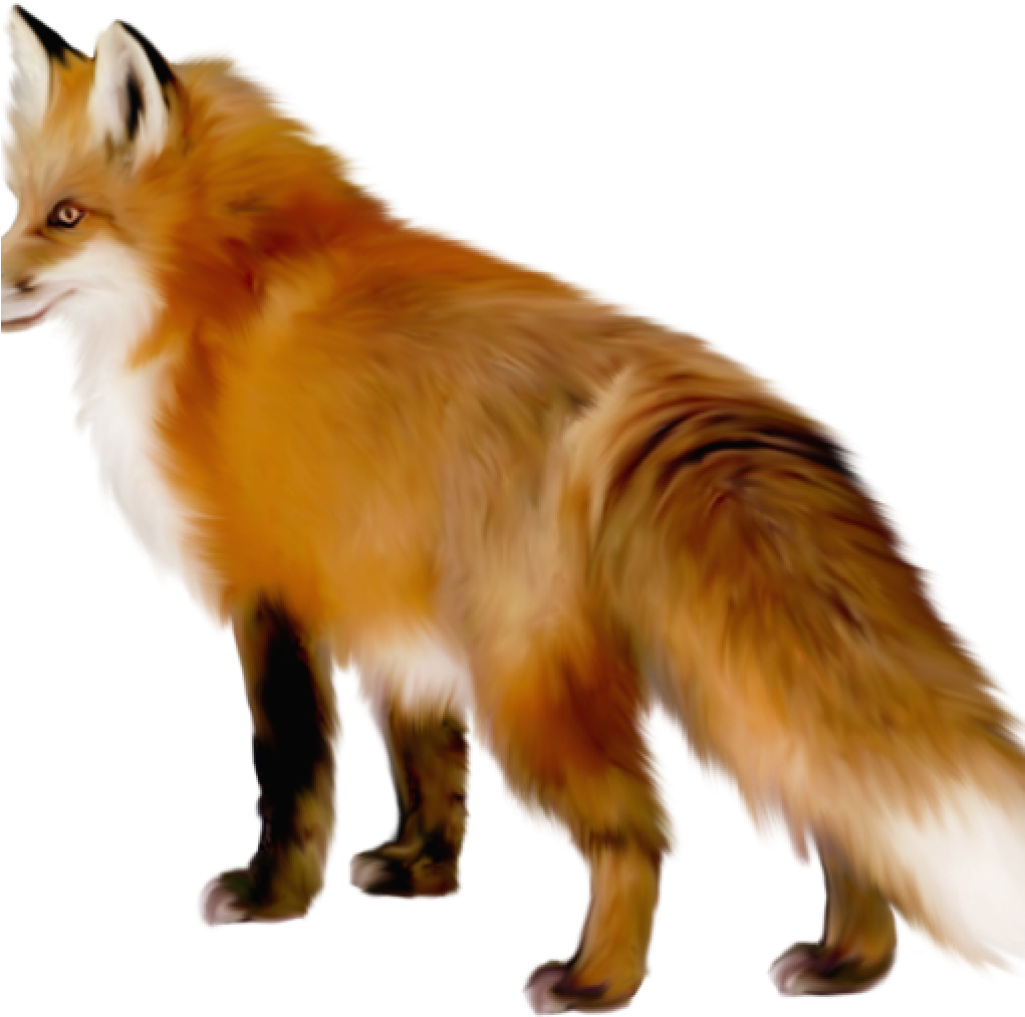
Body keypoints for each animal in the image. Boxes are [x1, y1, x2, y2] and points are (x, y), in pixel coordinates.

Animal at [2, 4, 1023, 1010]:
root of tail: (698, 396)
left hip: (526, 680)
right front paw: (419, 872)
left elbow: (292, 777)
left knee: (640, 835)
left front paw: (271, 897)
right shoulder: (394, 618)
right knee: (836, 810)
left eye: (68, 216)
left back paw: (593, 979)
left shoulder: (272, 591)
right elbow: (427, 767)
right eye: (14, 206)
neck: (221, 281)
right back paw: (848, 964)